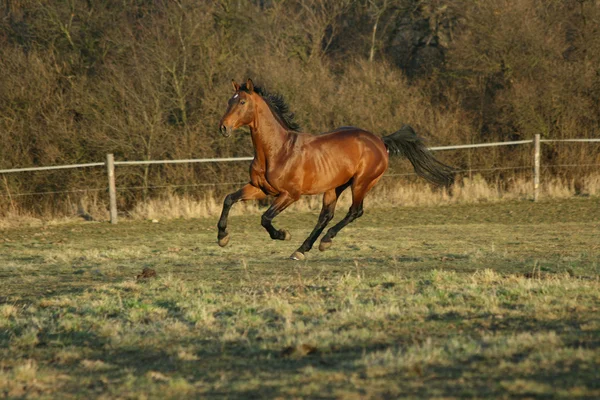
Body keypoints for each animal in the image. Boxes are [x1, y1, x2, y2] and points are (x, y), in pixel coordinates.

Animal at [218, 79, 452, 260]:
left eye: (242, 101)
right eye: (229, 100)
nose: (223, 128)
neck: (278, 150)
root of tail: (379, 141)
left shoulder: (290, 194)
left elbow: (265, 218)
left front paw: (284, 234)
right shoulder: (260, 188)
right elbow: (229, 199)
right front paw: (222, 237)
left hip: (361, 183)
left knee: (354, 211)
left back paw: (325, 240)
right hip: (335, 187)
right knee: (326, 215)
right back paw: (302, 250)